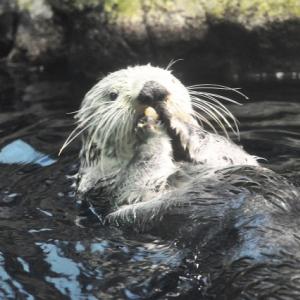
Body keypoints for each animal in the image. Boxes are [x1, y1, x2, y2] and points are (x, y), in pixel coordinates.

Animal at [60, 64, 300, 298]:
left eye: (170, 80)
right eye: (112, 95)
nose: (152, 90)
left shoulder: (231, 159)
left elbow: (224, 150)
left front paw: (180, 125)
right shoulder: (111, 189)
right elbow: (140, 177)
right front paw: (150, 129)